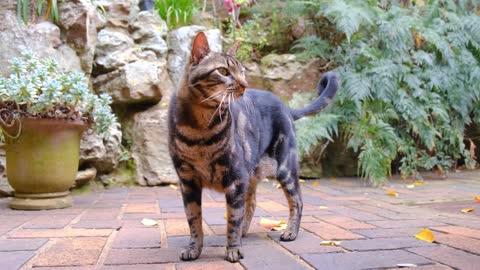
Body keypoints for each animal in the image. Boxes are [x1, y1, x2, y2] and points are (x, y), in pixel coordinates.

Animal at [168, 31, 338, 262]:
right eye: (223, 71)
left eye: (242, 71)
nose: (244, 84)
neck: (200, 130)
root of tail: (286, 106)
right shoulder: (187, 181)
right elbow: (194, 220)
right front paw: (194, 248)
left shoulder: (235, 178)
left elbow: (232, 218)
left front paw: (233, 249)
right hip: (252, 173)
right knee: (252, 203)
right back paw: (245, 231)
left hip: (285, 167)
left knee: (297, 201)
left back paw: (290, 232)